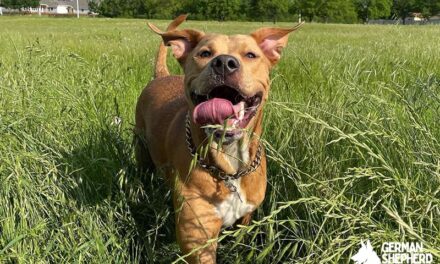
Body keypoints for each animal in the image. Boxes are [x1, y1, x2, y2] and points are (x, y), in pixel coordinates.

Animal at [134, 15, 304, 262]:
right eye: (204, 53)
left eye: (250, 55)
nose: (224, 62)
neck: (229, 166)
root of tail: (162, 76)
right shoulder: (197, 236)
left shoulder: (246, 217)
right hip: (141, 148)